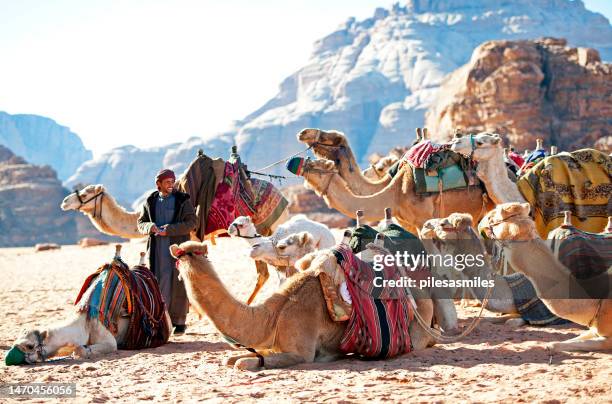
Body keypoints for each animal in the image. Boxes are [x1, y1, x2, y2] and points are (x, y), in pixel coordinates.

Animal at [167, 240, 436, 370]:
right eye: (180, 258)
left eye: (197, 254)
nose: (180, 261)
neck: (272, 315)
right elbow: (233, 359)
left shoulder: (301, 352)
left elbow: (243, 364)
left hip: (417, 325)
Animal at [482, 204, 612, 352]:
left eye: (492, 217)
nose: (482, 223)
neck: (596, 303)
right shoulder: (594, 330)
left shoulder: (608, 339)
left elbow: (554, 344)